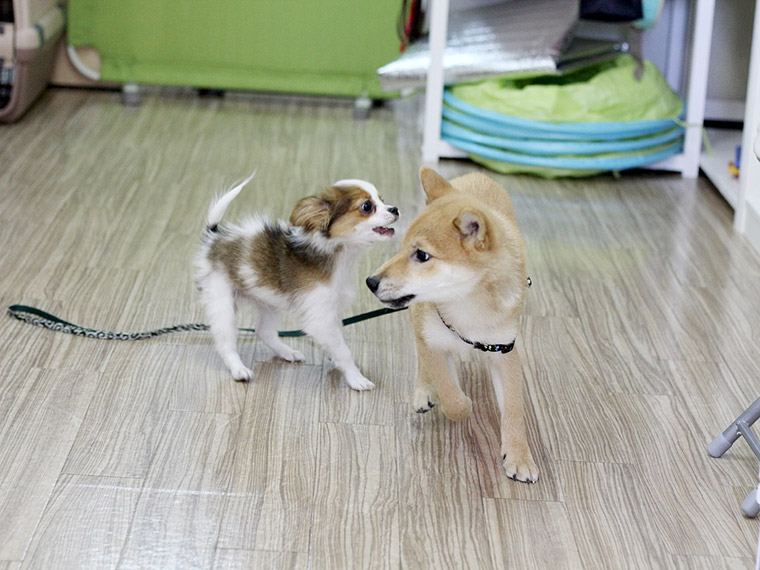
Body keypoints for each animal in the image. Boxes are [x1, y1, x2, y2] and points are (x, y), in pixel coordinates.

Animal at [194, 171, 398, 388]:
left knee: (264, 331)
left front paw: (334, 357)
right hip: (221, 300)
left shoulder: (331, 309)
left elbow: (338, 340)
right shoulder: (321, 317)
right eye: (367, 206)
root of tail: (213, 239)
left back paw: (287, 352)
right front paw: (355, 378)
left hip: (268, 301)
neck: (338, 255)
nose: (395, 209)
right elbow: (344, 350)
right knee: (226, 342)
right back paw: (239, 369)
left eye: (382, 199)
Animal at [366, 166, 536, 482]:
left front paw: (519, 456)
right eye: (402, 247)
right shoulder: (432, 341)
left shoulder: (504, 351)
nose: (370, 282)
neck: (468, 306)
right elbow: (451, 396)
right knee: (423, 362)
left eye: (422, 255)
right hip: (417, 316)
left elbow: (514, 408)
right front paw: (460, 402)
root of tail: (475, 175)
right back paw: (424, 391)